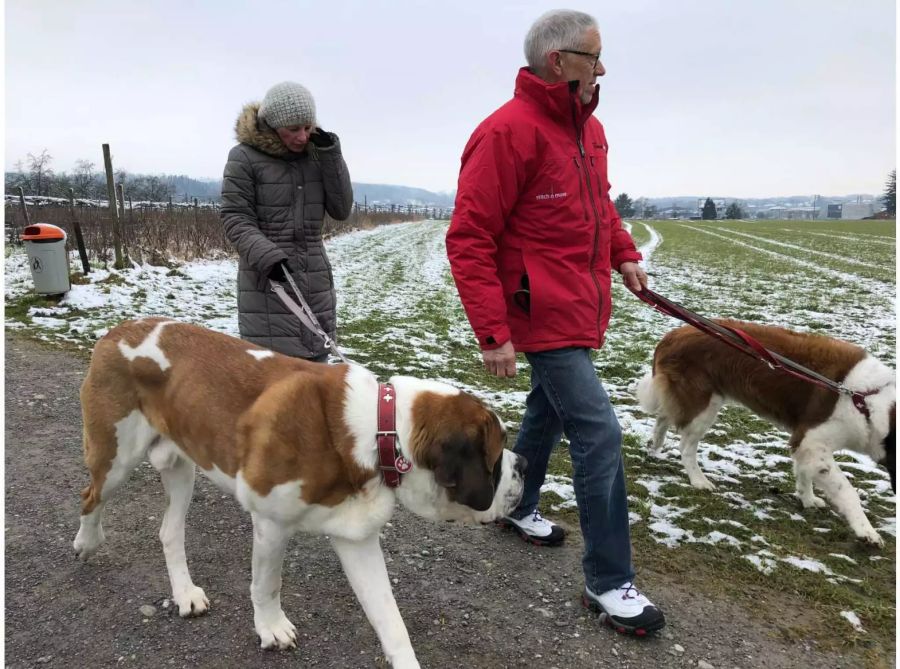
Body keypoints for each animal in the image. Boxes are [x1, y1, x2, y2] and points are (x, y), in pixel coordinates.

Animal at [75, 318, 528, 664]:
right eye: (496, 456)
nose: (523, 466)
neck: (379, 433)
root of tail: (120, 329)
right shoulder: (270, 522)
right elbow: (266, 584)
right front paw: (271, 628)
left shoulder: (357, 537)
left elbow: (392, 623)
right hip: (116, 457)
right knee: (91, 496)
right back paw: (87, 541)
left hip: (181, 465)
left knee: (169, 531)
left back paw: (185, 593)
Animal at [636, 320, 896, 544]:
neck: (865, 400)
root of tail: (673, 334)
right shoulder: (813, 441)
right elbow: (847, 490)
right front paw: (866, 531)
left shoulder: (805, 444)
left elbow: (804, 473)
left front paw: (807, 499)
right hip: (705, 405)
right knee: (686, 445)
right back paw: (699, 480)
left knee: (663, 416)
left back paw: (655, 446)